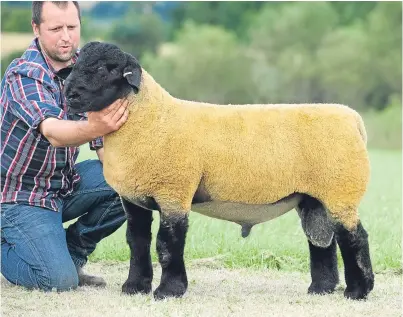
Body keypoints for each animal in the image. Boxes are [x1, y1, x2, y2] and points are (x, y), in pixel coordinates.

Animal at [64, 40, 376, 300]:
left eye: (105, 69)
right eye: (76, 65)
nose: (70, 93)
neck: (152, 118)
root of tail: (353, 119)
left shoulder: (173, 193)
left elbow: (167, 245)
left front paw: (169, 291)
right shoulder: (134, 198)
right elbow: (137, 242)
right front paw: (134, 287)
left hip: (341, 192)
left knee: (354, 238)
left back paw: (357, 291)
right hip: (314, 198)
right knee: (321, 241)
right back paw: (321, 288)